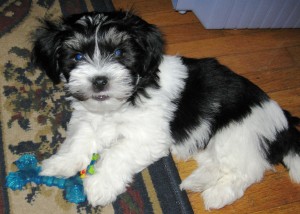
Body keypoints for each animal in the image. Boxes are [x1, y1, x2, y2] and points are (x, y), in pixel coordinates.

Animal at [31, 11, 298, 209]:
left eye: (119, 53)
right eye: (76, 56)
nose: (99, 80)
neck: (123, 100)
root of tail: (284, 123)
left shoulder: (148, 136)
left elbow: (117, 153)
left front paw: (100, 186)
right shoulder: (87, 118)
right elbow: (79, 140)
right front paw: (61, 163)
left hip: (238, 133)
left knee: (247, 170)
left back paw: (217, 195)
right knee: (218, 163)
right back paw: (196, 183)